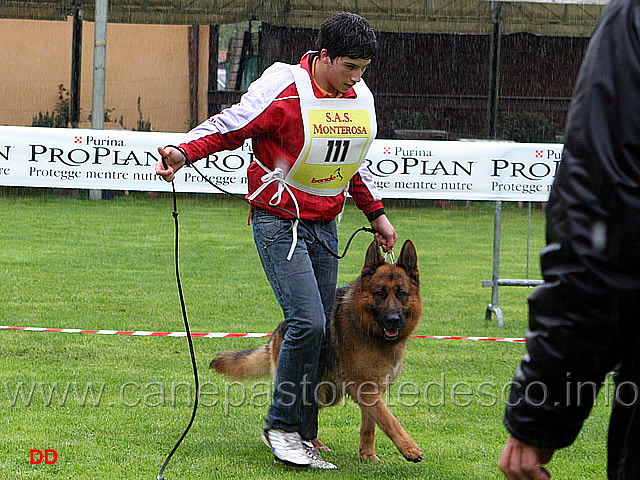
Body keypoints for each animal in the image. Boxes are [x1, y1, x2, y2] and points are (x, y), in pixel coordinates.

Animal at [211, 242, 424, 464]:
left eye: (402, 293)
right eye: (380, 293)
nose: (393, 320)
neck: (369, 330)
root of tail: (281, 329)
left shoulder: (375, 389)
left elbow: (371, 425)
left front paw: (368, 455)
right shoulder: (364, 389)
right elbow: (389, 420)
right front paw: (410, 449)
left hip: (328, 392)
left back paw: (313, 444)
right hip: (316, 390)